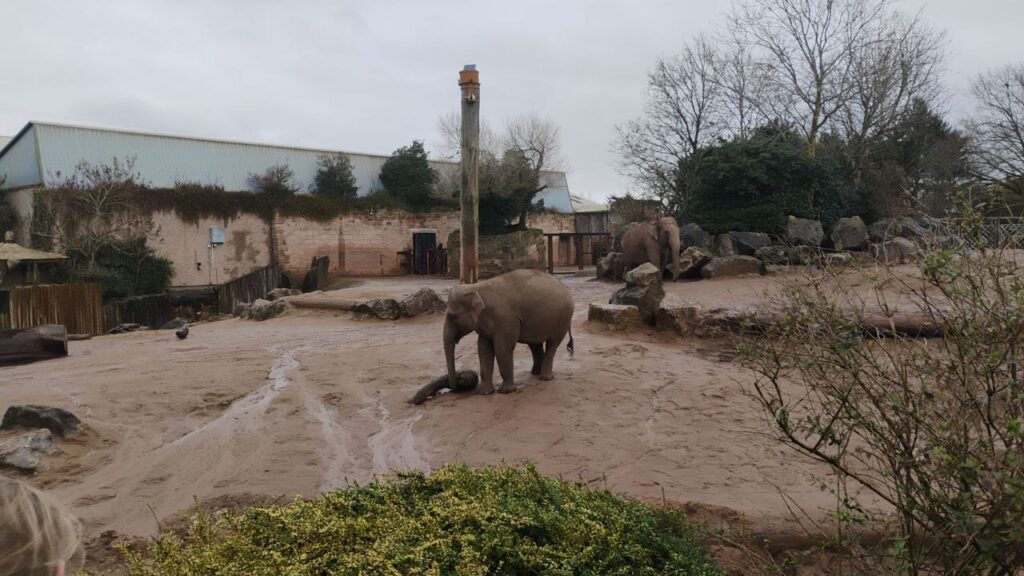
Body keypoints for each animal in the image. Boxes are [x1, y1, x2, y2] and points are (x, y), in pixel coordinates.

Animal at [444, 269, 575, 395]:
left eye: (452, 316)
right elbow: (483, 350)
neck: (476, 287)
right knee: (534, 344)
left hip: (563, 318)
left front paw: (506, 391)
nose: (460, 381)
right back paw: (535, 373)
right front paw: (485, 392)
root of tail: (566, 288)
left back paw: (545, 377)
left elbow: (502, 348)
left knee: (552, 344)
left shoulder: (505, 319)